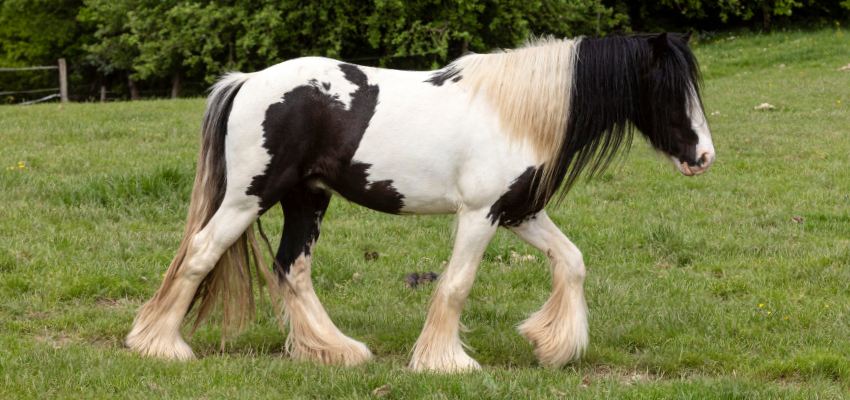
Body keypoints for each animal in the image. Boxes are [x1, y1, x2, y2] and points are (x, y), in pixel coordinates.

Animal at [126, 31, 712, 372]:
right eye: (669, 88)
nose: (704, 157)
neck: (513, 114)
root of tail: (247, 81)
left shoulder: (519, 212)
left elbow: (571, 261)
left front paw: (553, 346)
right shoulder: (480, 215)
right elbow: (456, 286)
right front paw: (445, 363)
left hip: (306, 199)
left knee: (292, 268)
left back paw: (337, 351)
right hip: (249, 197)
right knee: (201, 254)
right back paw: (161, 346)